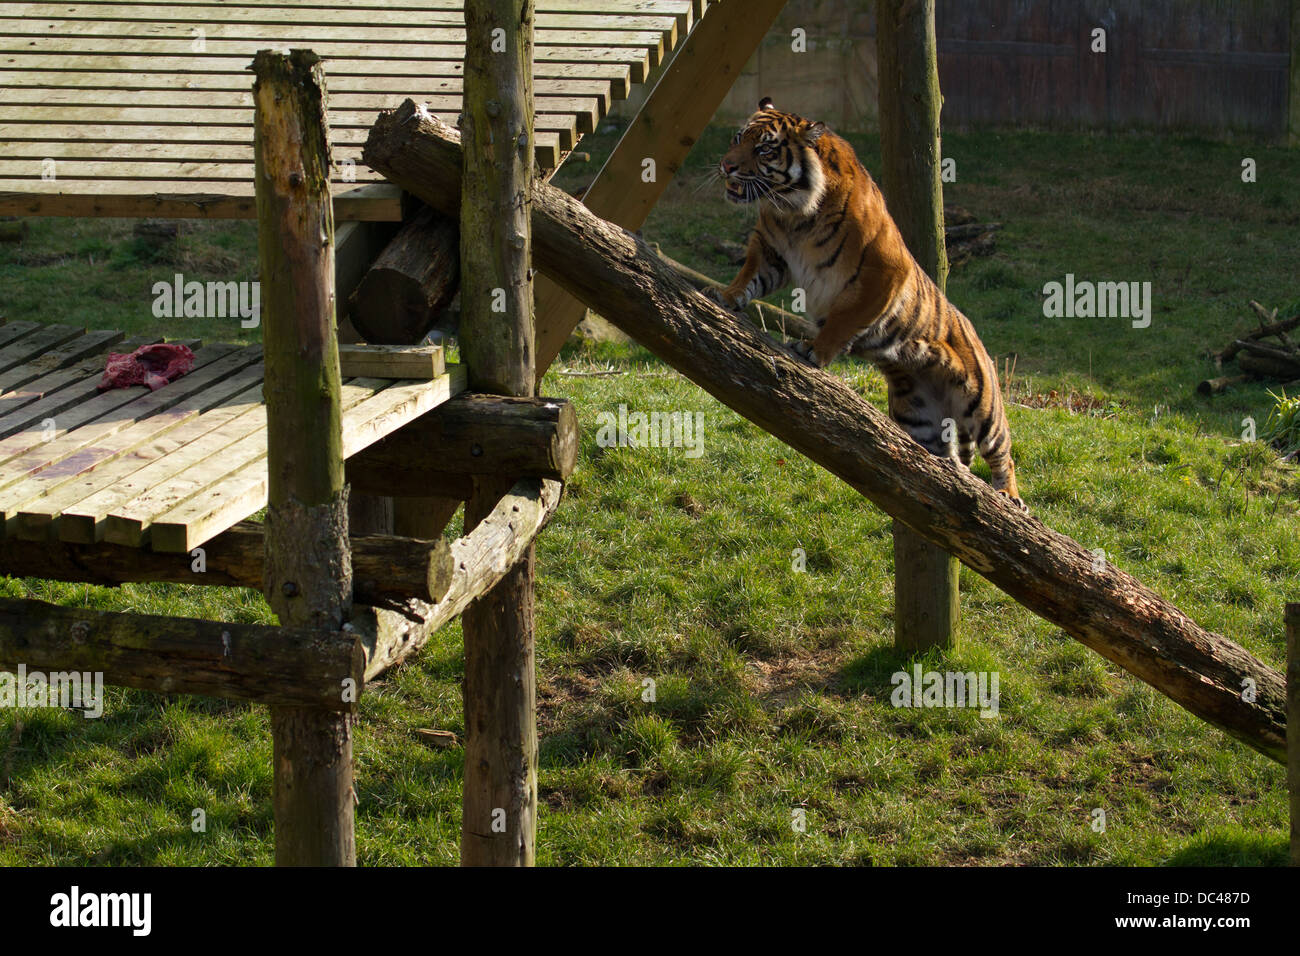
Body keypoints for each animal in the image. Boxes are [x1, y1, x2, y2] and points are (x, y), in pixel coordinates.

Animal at [707, 98, 1019, 509]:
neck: (793, 214)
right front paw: (725, 297)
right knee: (944, 466)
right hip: (919, 417)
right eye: (737, 138)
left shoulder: (884, 272)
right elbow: (747, 277)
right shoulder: (770, 250)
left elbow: (843, 319)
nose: (726, 165)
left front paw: (813, 349)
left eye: (764, 149)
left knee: (1003, 454)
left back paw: (1011, 497)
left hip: (981, 405)